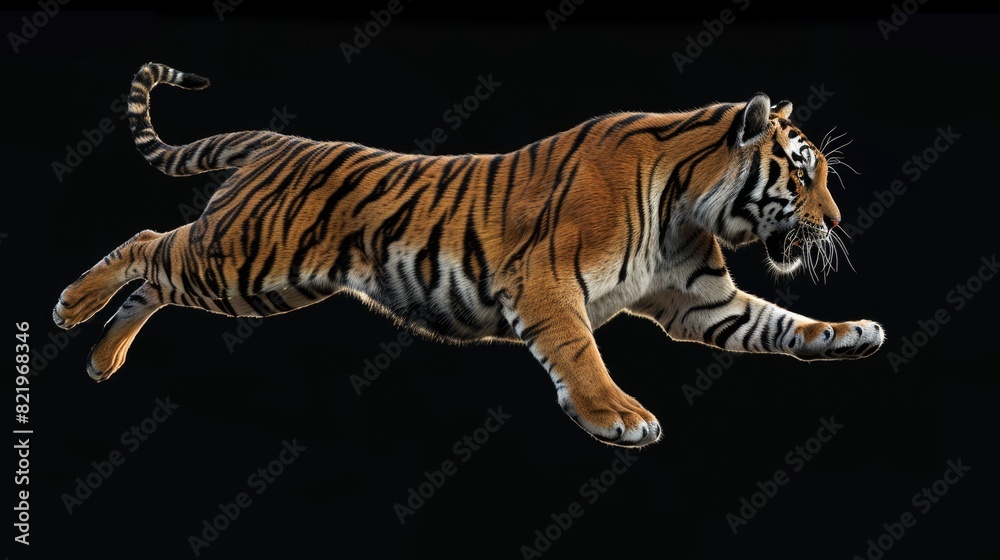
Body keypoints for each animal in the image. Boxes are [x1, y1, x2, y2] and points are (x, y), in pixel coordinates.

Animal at [54, 62, 884, 448]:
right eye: (802, 173)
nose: (838, 219)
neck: (684, 202)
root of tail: (274, 141)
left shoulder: (703, 300)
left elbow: (783, 324)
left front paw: (854, 332)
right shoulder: (547, 284)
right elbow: (581, 355)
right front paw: (618, 415)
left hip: (263, 279)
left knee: (156, 276)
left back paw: (102, 360)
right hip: (244, 259)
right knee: (148, 245)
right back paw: (71, 306)